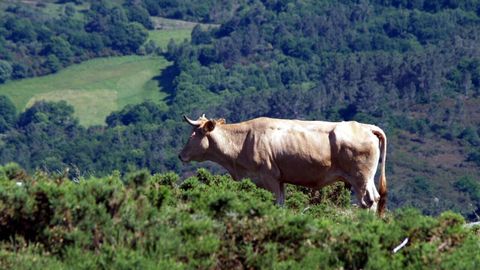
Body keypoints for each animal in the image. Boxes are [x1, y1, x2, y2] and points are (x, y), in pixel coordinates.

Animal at [178, 114, 388, 215]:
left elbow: (276, 203)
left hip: (361, 178)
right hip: (365, 178)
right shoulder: (280, 180)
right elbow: (281, 203)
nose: (181, 155)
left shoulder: (269, 177)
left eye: (194, 133)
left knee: (369, 201)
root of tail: (367, 127)